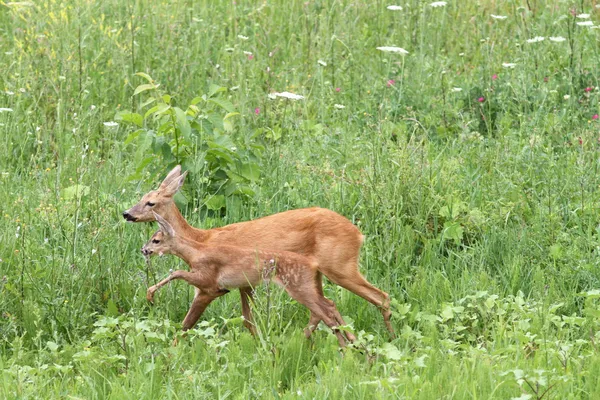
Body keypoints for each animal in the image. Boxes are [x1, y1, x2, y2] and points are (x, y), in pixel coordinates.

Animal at [143, 212, 354, 346]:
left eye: (156, 240)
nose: (143, 249)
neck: (195, 253)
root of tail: (313, 265)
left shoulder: (208, 281)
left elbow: (176, 273)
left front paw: (150, 294)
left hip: (299, 287)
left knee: (326, 314)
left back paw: (346, 350)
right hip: (308, 287)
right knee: (329, 306)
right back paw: (353, 345)